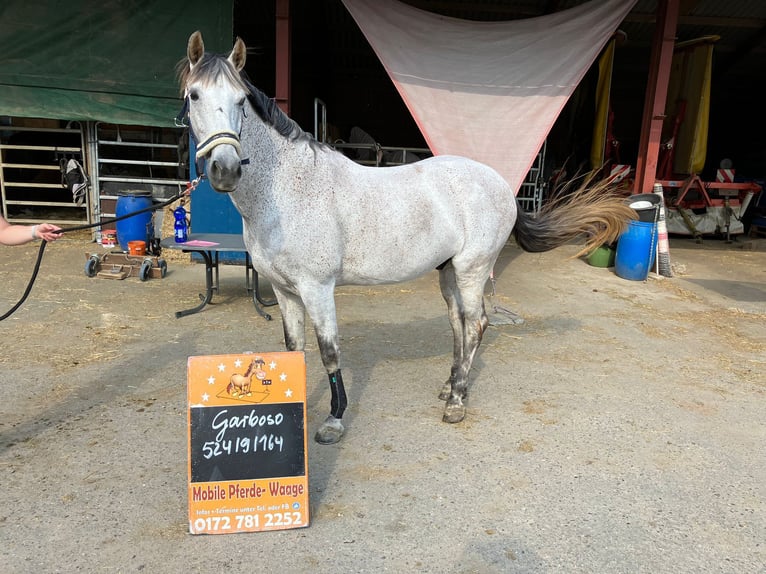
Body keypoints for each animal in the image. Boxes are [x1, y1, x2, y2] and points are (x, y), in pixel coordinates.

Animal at [180, 30, 636, 446]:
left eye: (241, 101)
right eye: (195, 96)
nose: (225, 169)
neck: (290, 189)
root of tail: (501, 185)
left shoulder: (317, 288)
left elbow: (329, 351)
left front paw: (333, 421)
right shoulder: (284, 290)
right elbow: (294, 351)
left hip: (472, 270)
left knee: (476, 324)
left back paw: (456, 403)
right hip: (448, 273)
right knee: (458, 325)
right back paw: (451, 386)